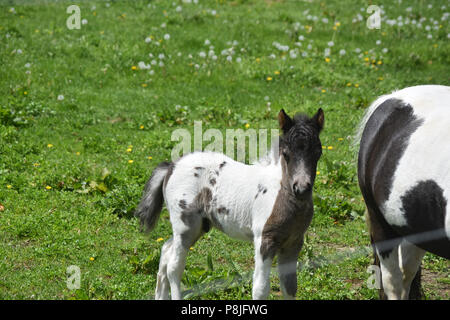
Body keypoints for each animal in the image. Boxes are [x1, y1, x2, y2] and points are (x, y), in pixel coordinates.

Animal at [136, 109, 324, 298]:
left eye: (318, 153)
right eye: (286, 154)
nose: (301, 189)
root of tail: (171, 166)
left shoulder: (294, 243)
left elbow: (290, 286)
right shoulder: (264, 241)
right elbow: (261, 288)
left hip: (197, 227)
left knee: (166, 252)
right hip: (185, 226)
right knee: (174, 267)